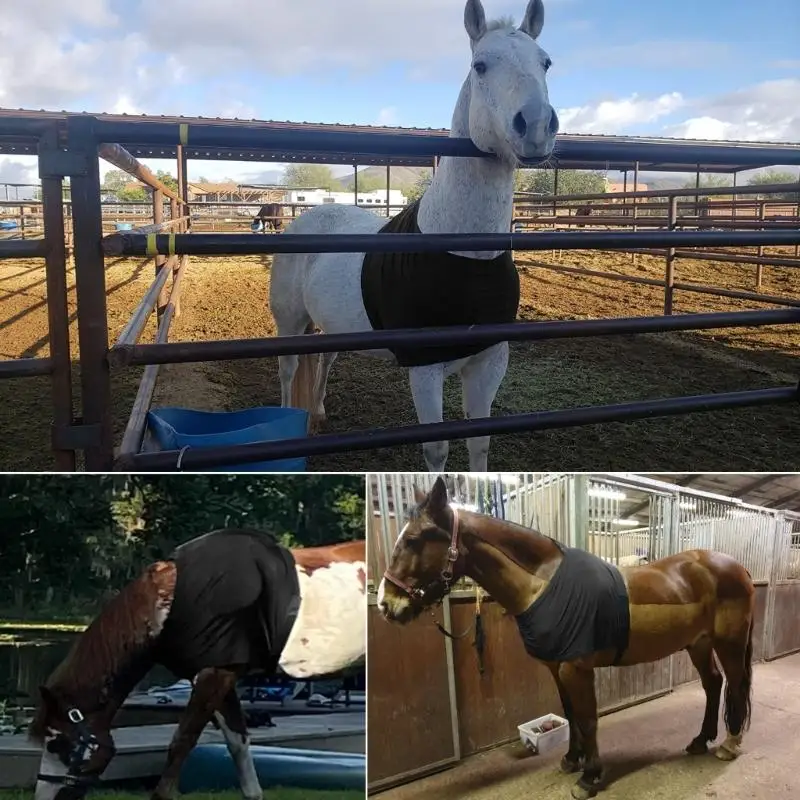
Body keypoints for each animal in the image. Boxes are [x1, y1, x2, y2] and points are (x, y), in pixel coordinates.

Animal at [30, 530, 366, 800]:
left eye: (57, 744)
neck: (174, 599)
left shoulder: (213, 675)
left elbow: (181, 743)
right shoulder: (220, 673)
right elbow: (238, 743)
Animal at [269, 0, 558, 472]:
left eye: (545, 63)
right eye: (480, 65)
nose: (535, 126)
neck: (466, 255)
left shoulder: (490, 362)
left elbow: (480, 442)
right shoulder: (425, 368)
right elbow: (436, 448)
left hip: (330, 324)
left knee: (324, 359)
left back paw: (318, 413)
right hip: (289, 322)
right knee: (289, 368)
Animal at [378, 478, 755, 800]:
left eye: (413, 540)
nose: (385, 604)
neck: (543, 585)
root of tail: (735, 567)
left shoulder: (576, 668)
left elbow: (587, 718)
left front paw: (590, 777)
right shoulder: (556, 667)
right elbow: (570, 713)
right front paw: (572, 760)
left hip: (729, 643)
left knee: (735, 683)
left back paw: (729, 744)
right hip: (699, 643)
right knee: (713, 683)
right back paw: (700, 740)